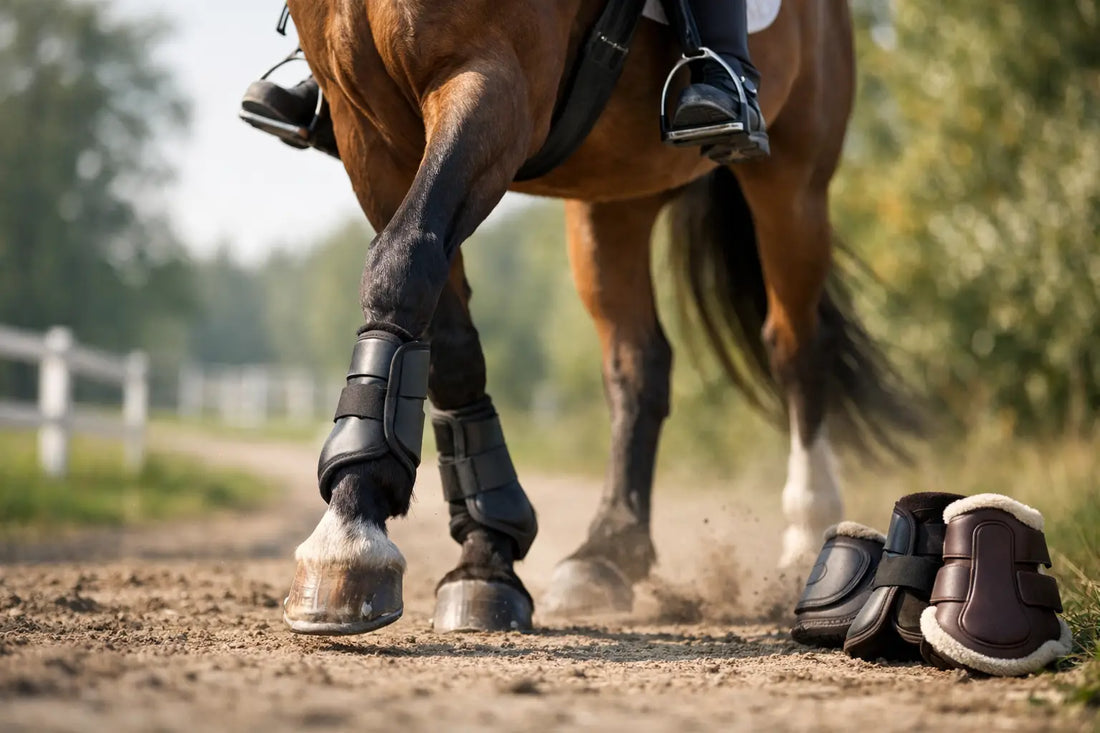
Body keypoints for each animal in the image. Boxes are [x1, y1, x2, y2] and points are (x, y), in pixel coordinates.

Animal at [280, 0, 919, 635]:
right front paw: (480, 550)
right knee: (640, 363)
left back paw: (807, 536)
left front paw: (353, 529)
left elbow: (405, 258)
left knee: (794, 347)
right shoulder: (366, 127)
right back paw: (608, 551)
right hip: (613, 198)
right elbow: (447, 339)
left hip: (793, 185)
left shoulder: (492, 80)